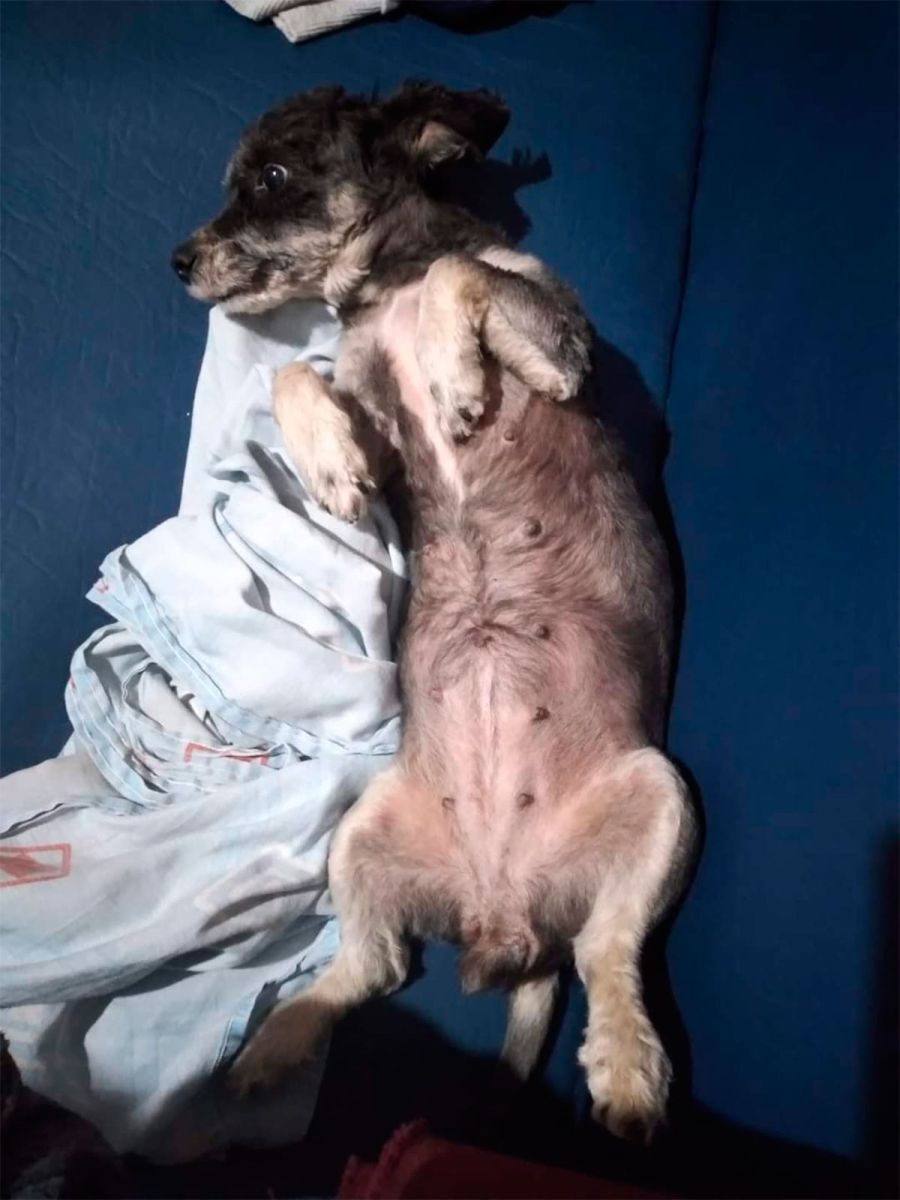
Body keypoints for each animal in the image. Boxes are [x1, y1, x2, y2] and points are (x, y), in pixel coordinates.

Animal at [173, 82, 696, 1140]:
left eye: (271, 177)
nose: (178, 259)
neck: (386, 283)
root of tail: (504, 920)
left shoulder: (560, 338)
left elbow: (467, 271)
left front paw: (458, 375)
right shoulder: (380, 422)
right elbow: (298, 374)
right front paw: (328, 464)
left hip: (663, 801)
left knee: (608, 956)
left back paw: (626, 1071)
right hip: (363, 835)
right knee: (373, 967)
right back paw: (278, 1042)